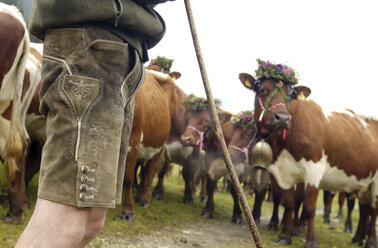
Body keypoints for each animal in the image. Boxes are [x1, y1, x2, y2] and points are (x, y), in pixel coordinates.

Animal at [241, 72, 376, 248]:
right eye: (263, 89)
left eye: (290, 95)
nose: (282, 118)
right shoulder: (282, 171)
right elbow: (289, 202)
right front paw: (286, 235)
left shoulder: (314, 170)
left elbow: (309, 207)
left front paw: (311, 240)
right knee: (365, 208)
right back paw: (358, 238)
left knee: (374, 209)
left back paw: (371, 241)